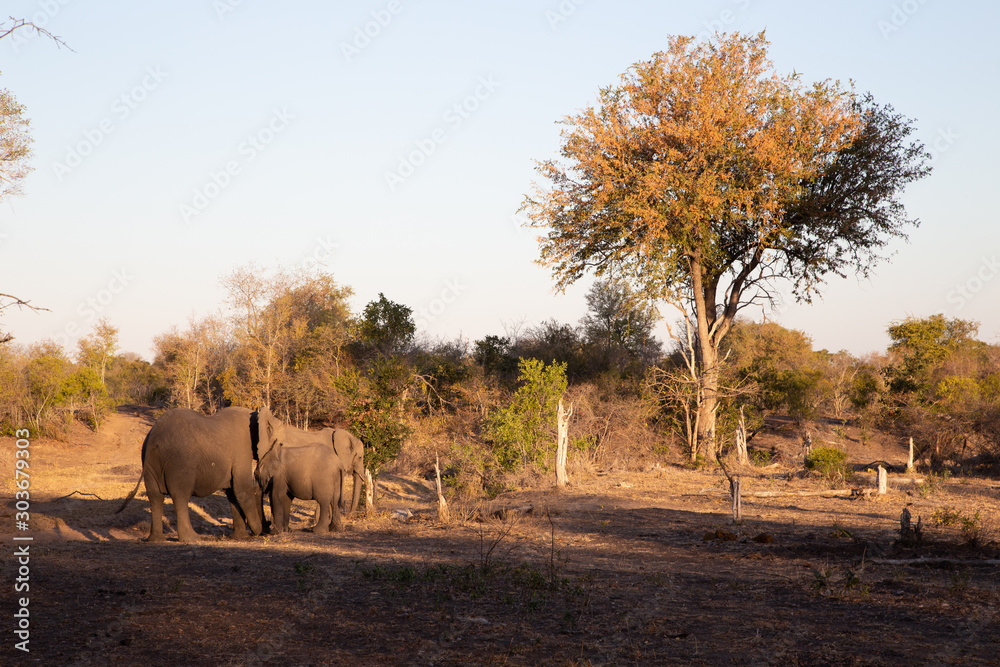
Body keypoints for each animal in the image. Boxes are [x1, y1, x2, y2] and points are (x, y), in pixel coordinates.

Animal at [117, 407, 272, 543]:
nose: (267, 528)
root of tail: (154, 435)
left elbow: (232, 493)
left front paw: (241, 537)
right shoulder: (242, 449)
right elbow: (241, 490)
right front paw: (257, 532)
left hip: (149, 461)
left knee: (155, 496)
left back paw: (156, 540)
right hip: (180, 461)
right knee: (180, 495)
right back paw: (192, 538)